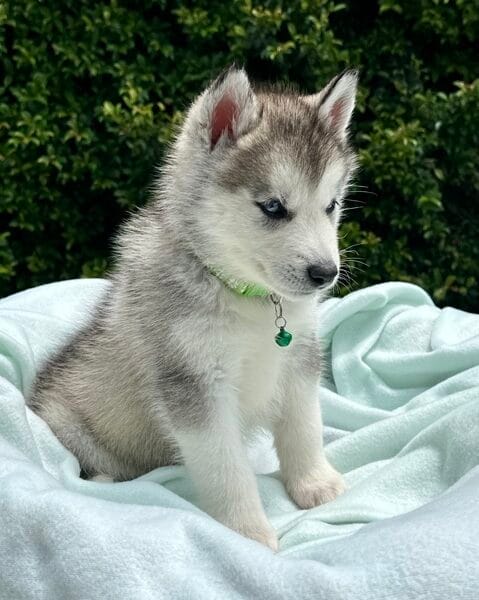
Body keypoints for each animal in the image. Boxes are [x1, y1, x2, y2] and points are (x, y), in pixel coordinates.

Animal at [28, 66, 359, 551]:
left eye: (331, 205)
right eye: (273, 207)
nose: (325, 273)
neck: (251, 299)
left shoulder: (299, 358)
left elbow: (305, 426)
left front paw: (315, 483)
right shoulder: (195, 384)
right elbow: (227, 469)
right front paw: (248, 533)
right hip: (68, 425)